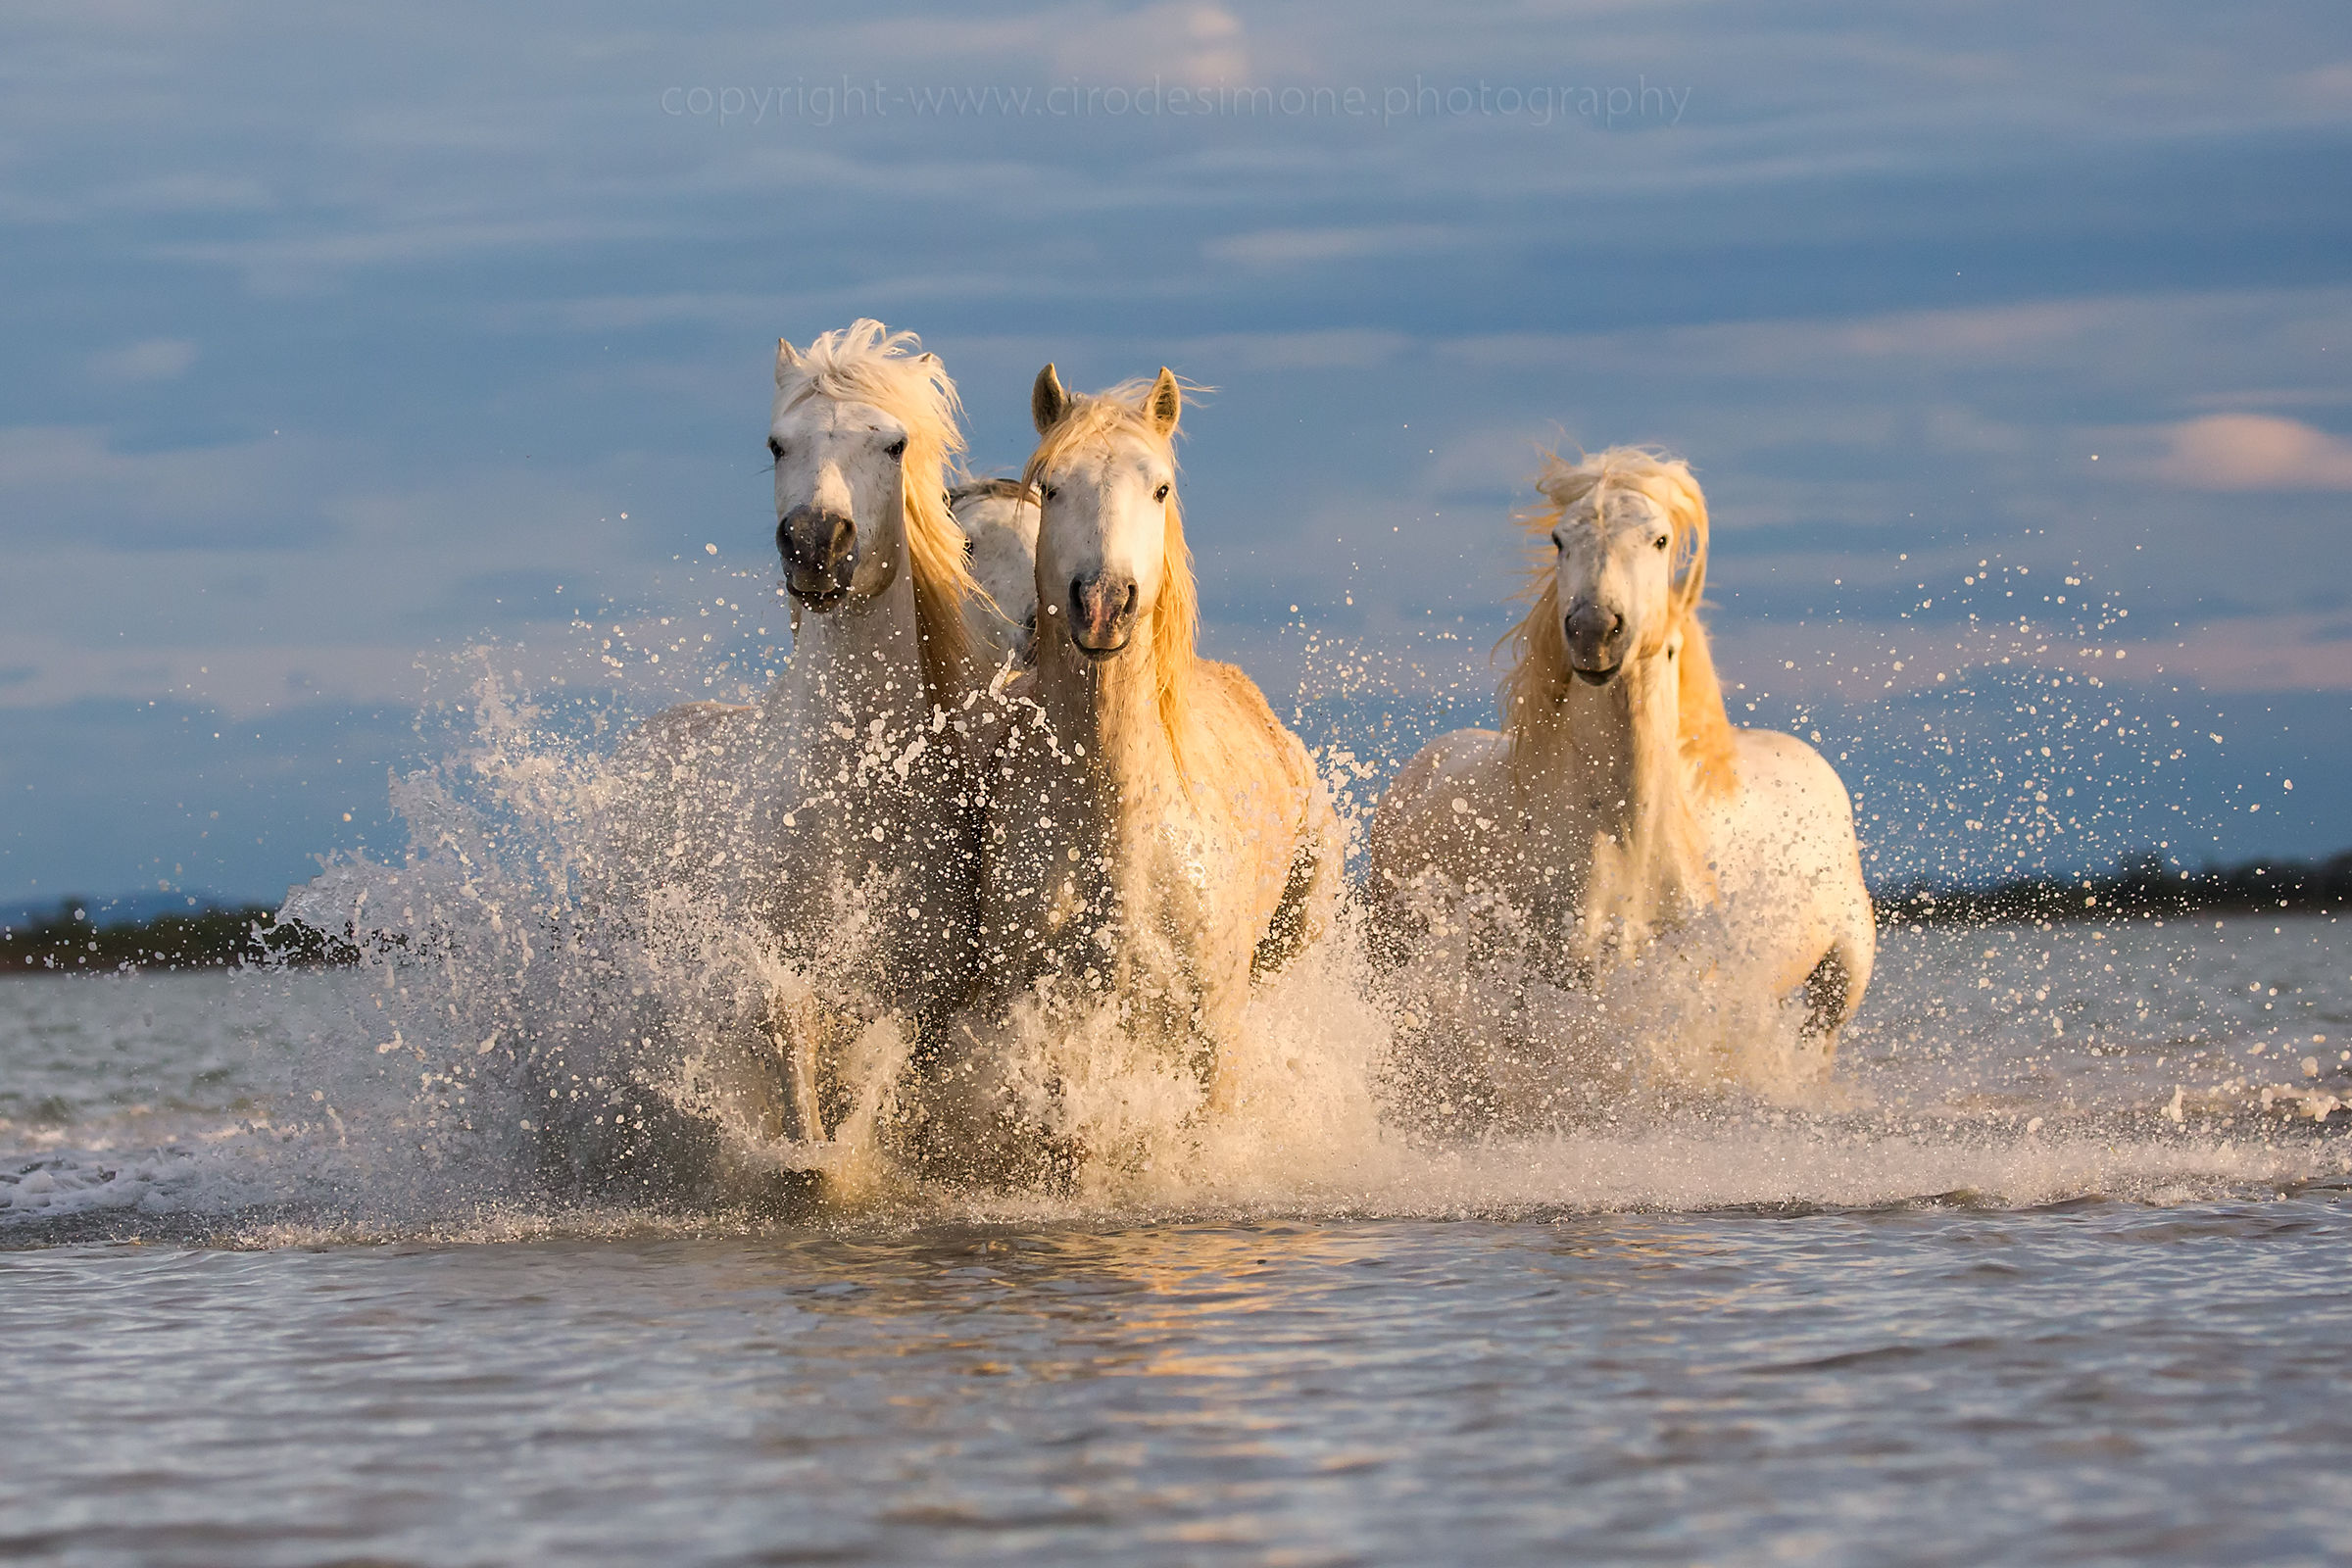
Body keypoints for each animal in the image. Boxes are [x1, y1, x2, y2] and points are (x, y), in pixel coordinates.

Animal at [608, 320, 1012, 1165]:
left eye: (893, 443)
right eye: (775, 443)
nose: (816, 543)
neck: (851, 791)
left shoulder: (916, 997)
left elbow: (872, 1083)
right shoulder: (778, 975)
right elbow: (801, 1091)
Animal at [936, 365, 1340, 1176]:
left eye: (1159, 487)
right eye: (1054, 486)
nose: (1102, 604)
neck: (1115, 824)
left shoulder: (1214, 1032)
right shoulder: (1049, 1025)